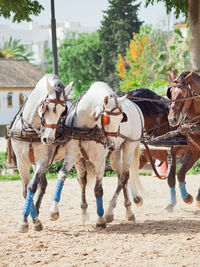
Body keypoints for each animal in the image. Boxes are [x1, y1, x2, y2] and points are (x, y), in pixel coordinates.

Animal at [8, 74, 73, 233]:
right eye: (46, 107)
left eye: (63, 110)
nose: (48, 139)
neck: (31, 129)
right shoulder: (22, 162)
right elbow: (26, 190)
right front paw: (32, 219)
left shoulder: (43, 161)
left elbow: (32, 186)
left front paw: (28, 221)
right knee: (43, 184)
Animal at [49, 81, 144, 228]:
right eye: (106, 119)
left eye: (121, 119)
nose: (112, 144)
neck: (86, 127)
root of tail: (136, 106)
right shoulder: (74, 155)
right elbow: (67, 176)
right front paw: (55, 211)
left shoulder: (99, 160)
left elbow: (98, 189)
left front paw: (100, 219)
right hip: (115, 155)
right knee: (121, 177)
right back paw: (128, 212)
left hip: (129, 146)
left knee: (124, 177)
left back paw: (111, 212)